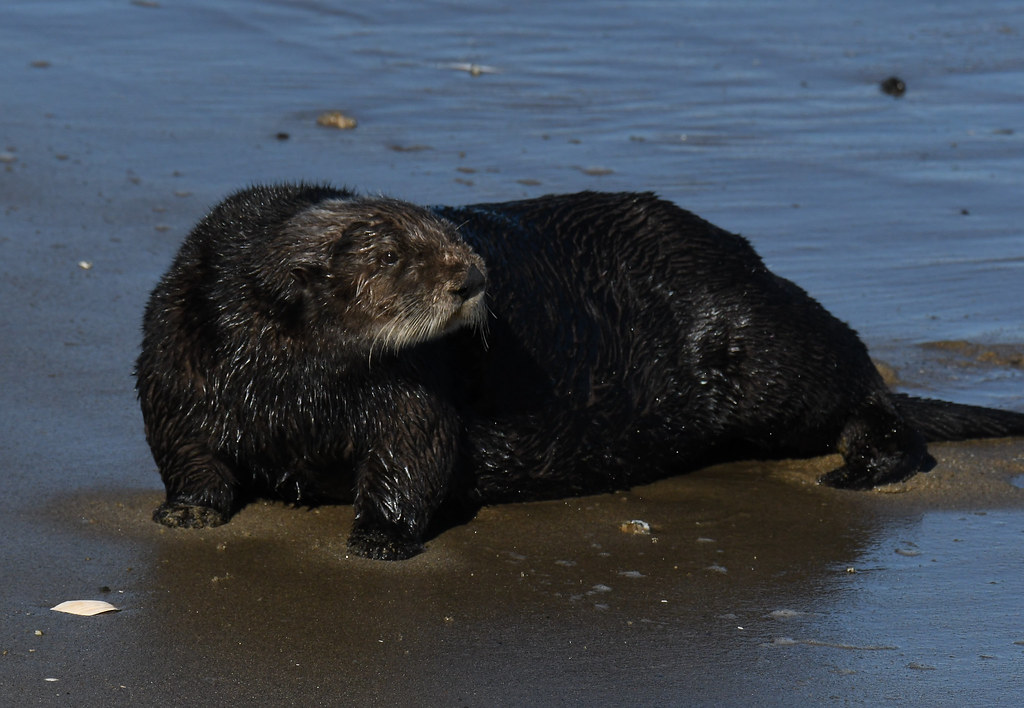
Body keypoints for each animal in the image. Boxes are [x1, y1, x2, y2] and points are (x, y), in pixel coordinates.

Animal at [136, 185, 1024, 560]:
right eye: (390, 255)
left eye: (451, 239)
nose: (474, 275)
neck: (291, 385)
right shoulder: (175, 366)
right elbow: (184, 449)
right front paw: (187, 512)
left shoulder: (410, 388)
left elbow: (413, 454)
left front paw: (380, 539)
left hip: (762, 348)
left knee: (863, 385)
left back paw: (861, 465)